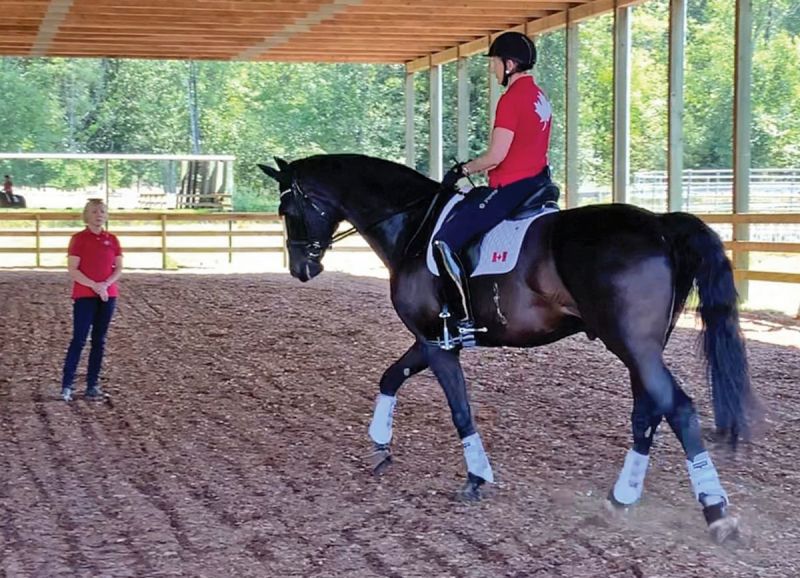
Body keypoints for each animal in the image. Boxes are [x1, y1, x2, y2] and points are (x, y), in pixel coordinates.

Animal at [259, 153, 757, 543]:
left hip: (633, 345)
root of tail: (659, 224)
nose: (301, 268)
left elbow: (460, 409)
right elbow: (390, 376)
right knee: (648, 411)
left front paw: (476, 477)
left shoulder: (438, 343)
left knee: (679, 409)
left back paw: (716, 513)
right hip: (643, 348)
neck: (415, 226)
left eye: (287, 207)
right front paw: (380, 446)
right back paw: (622, 498)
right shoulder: (430, 339)